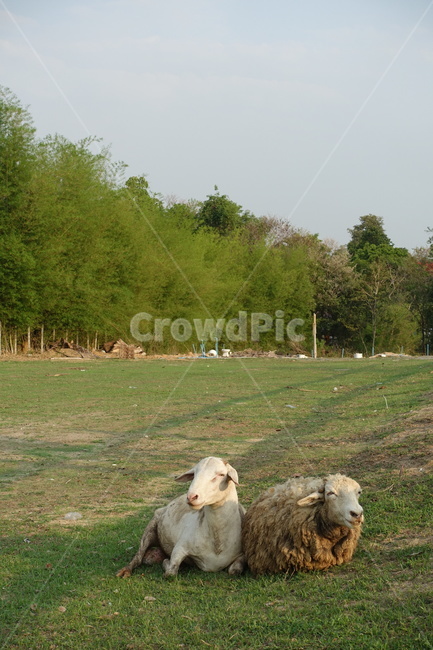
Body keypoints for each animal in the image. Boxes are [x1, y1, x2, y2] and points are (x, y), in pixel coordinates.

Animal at [116, 456, 245, 578]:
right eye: (194, 474)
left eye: (221, 474)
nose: (192, 496)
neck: (217, 544)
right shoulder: (180, 547)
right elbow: (170, 573)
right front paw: (167, 563)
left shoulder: (242, 555)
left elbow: (234, 570)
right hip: (150, 528)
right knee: (138, 557)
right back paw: (125, 571)